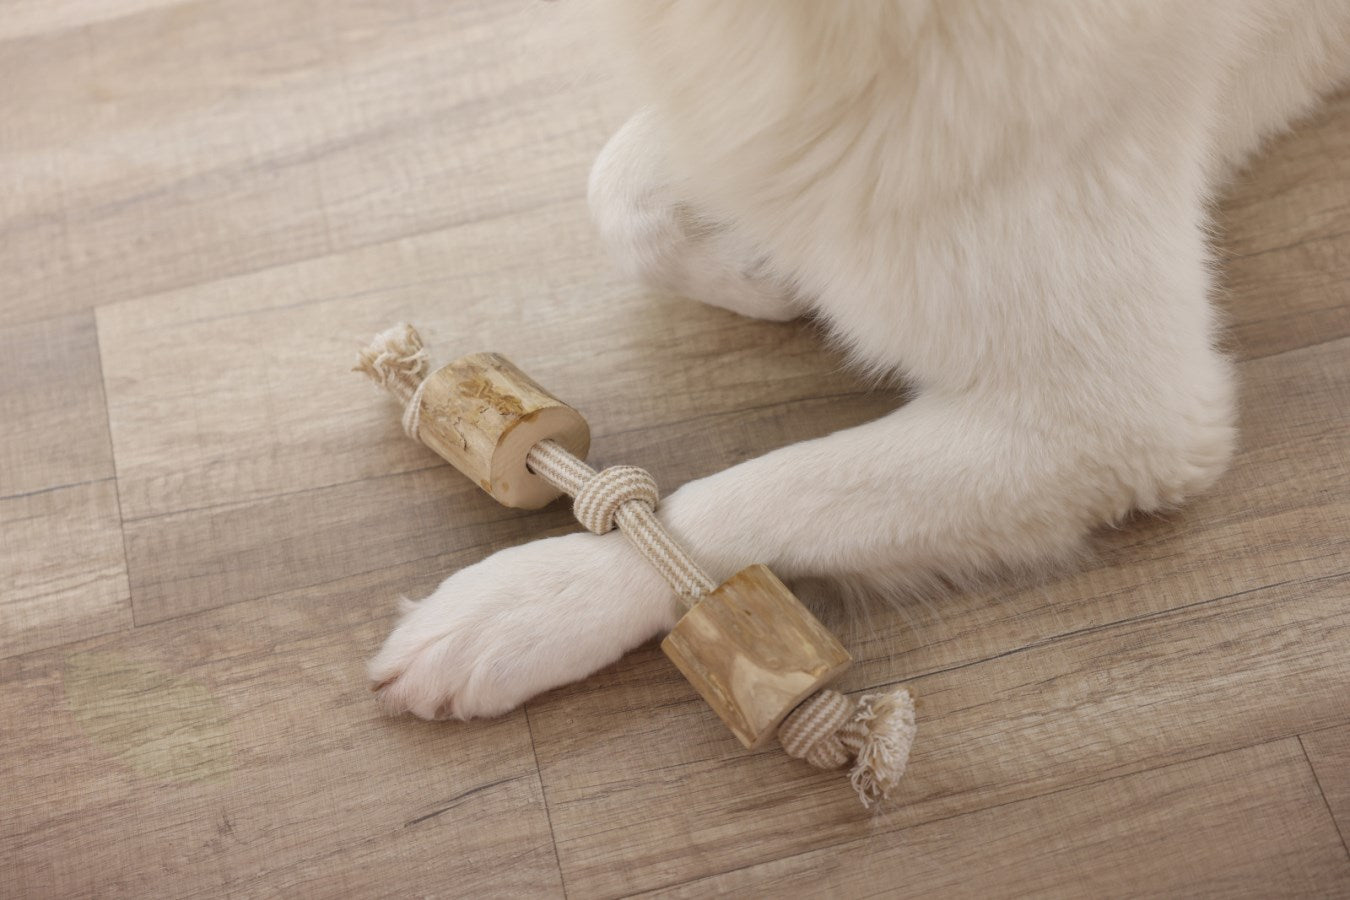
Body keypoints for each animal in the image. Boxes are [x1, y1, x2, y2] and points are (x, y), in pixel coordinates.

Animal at [367, 0, 1350, 717]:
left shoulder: (1118, 413)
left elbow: (770, 491)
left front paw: (536, 602)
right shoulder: (782, 122)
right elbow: (620, 192)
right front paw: (771, 267)